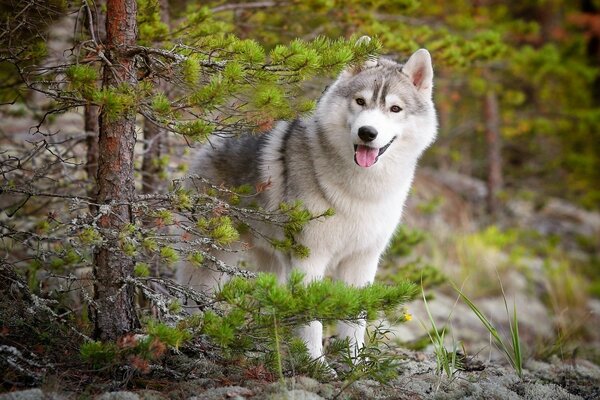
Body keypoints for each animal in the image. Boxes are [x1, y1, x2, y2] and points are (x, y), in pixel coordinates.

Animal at [177, 47, 436, 362]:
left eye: (395, 109)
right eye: (360, 101)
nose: (367, 132)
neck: (361, 191)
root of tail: (216, 137)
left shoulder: (361, 263)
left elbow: (355, 323)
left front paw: (354, 364)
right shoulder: (310, 259)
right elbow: (312, 323)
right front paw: (316, 365)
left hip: (272, 264)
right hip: (212, 260)